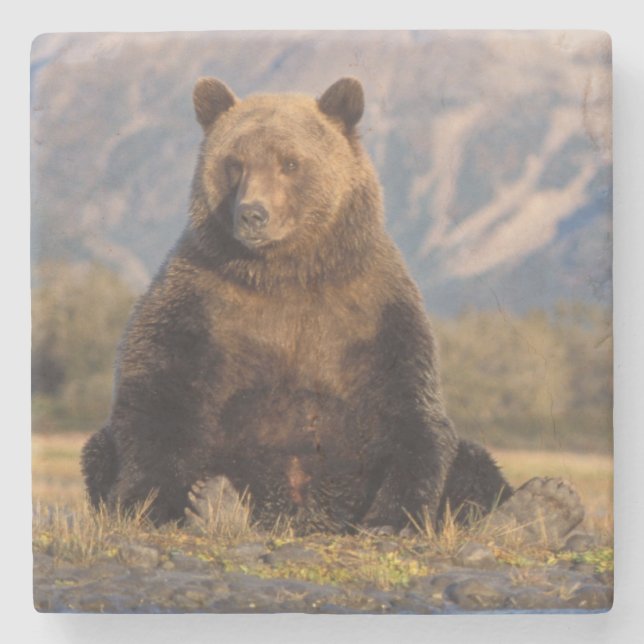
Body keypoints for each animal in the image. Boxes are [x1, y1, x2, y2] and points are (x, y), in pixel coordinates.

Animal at [82, 77, 584, 539]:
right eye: (234, 163)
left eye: (290, 162)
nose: (253, 214)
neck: (286, 272)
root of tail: (305, 518)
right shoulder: (201, 300)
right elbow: (158, 393)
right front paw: (153, 504)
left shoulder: (372, 309)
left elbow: (408, 410)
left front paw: (391, 519)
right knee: (99, 448)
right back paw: (217, 505)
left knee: (472, 460)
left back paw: (541, 506)